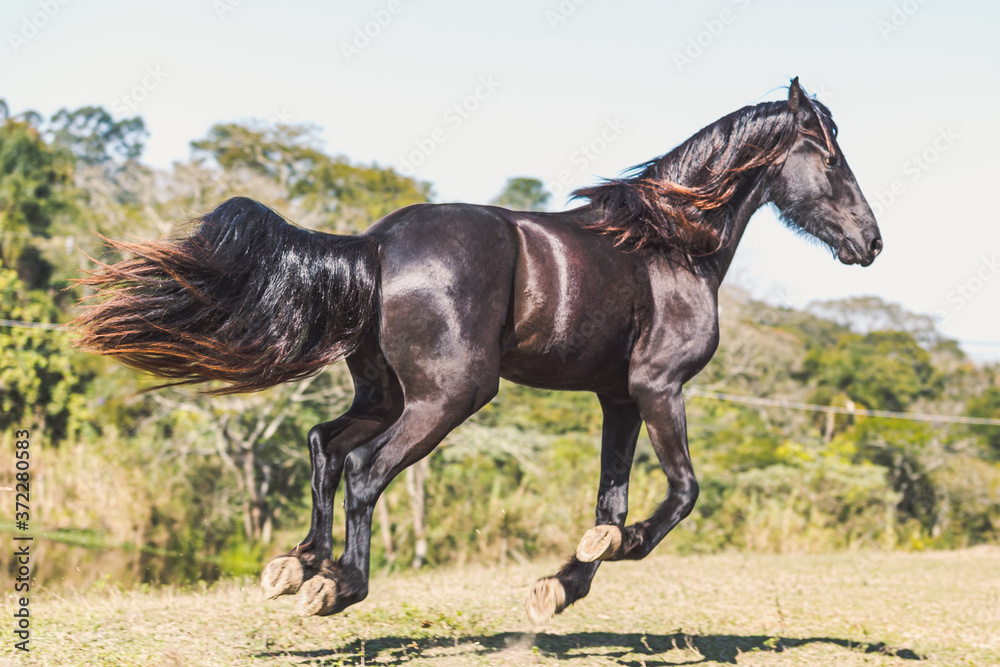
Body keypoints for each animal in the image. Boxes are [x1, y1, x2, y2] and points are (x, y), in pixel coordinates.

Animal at [74, 78, 882, 624]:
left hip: (387, 394)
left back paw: (297, 564)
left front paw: (565, 581)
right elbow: (680, 494)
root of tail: (376, 246)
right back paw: (337, 584)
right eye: (831, 160)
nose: (870, 242)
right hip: (448, 396)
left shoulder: (618, 397)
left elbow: (610, 500)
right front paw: (609, 553)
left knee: (324, 447)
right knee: (364, 469)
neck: (671, 243)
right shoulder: (660, 388)